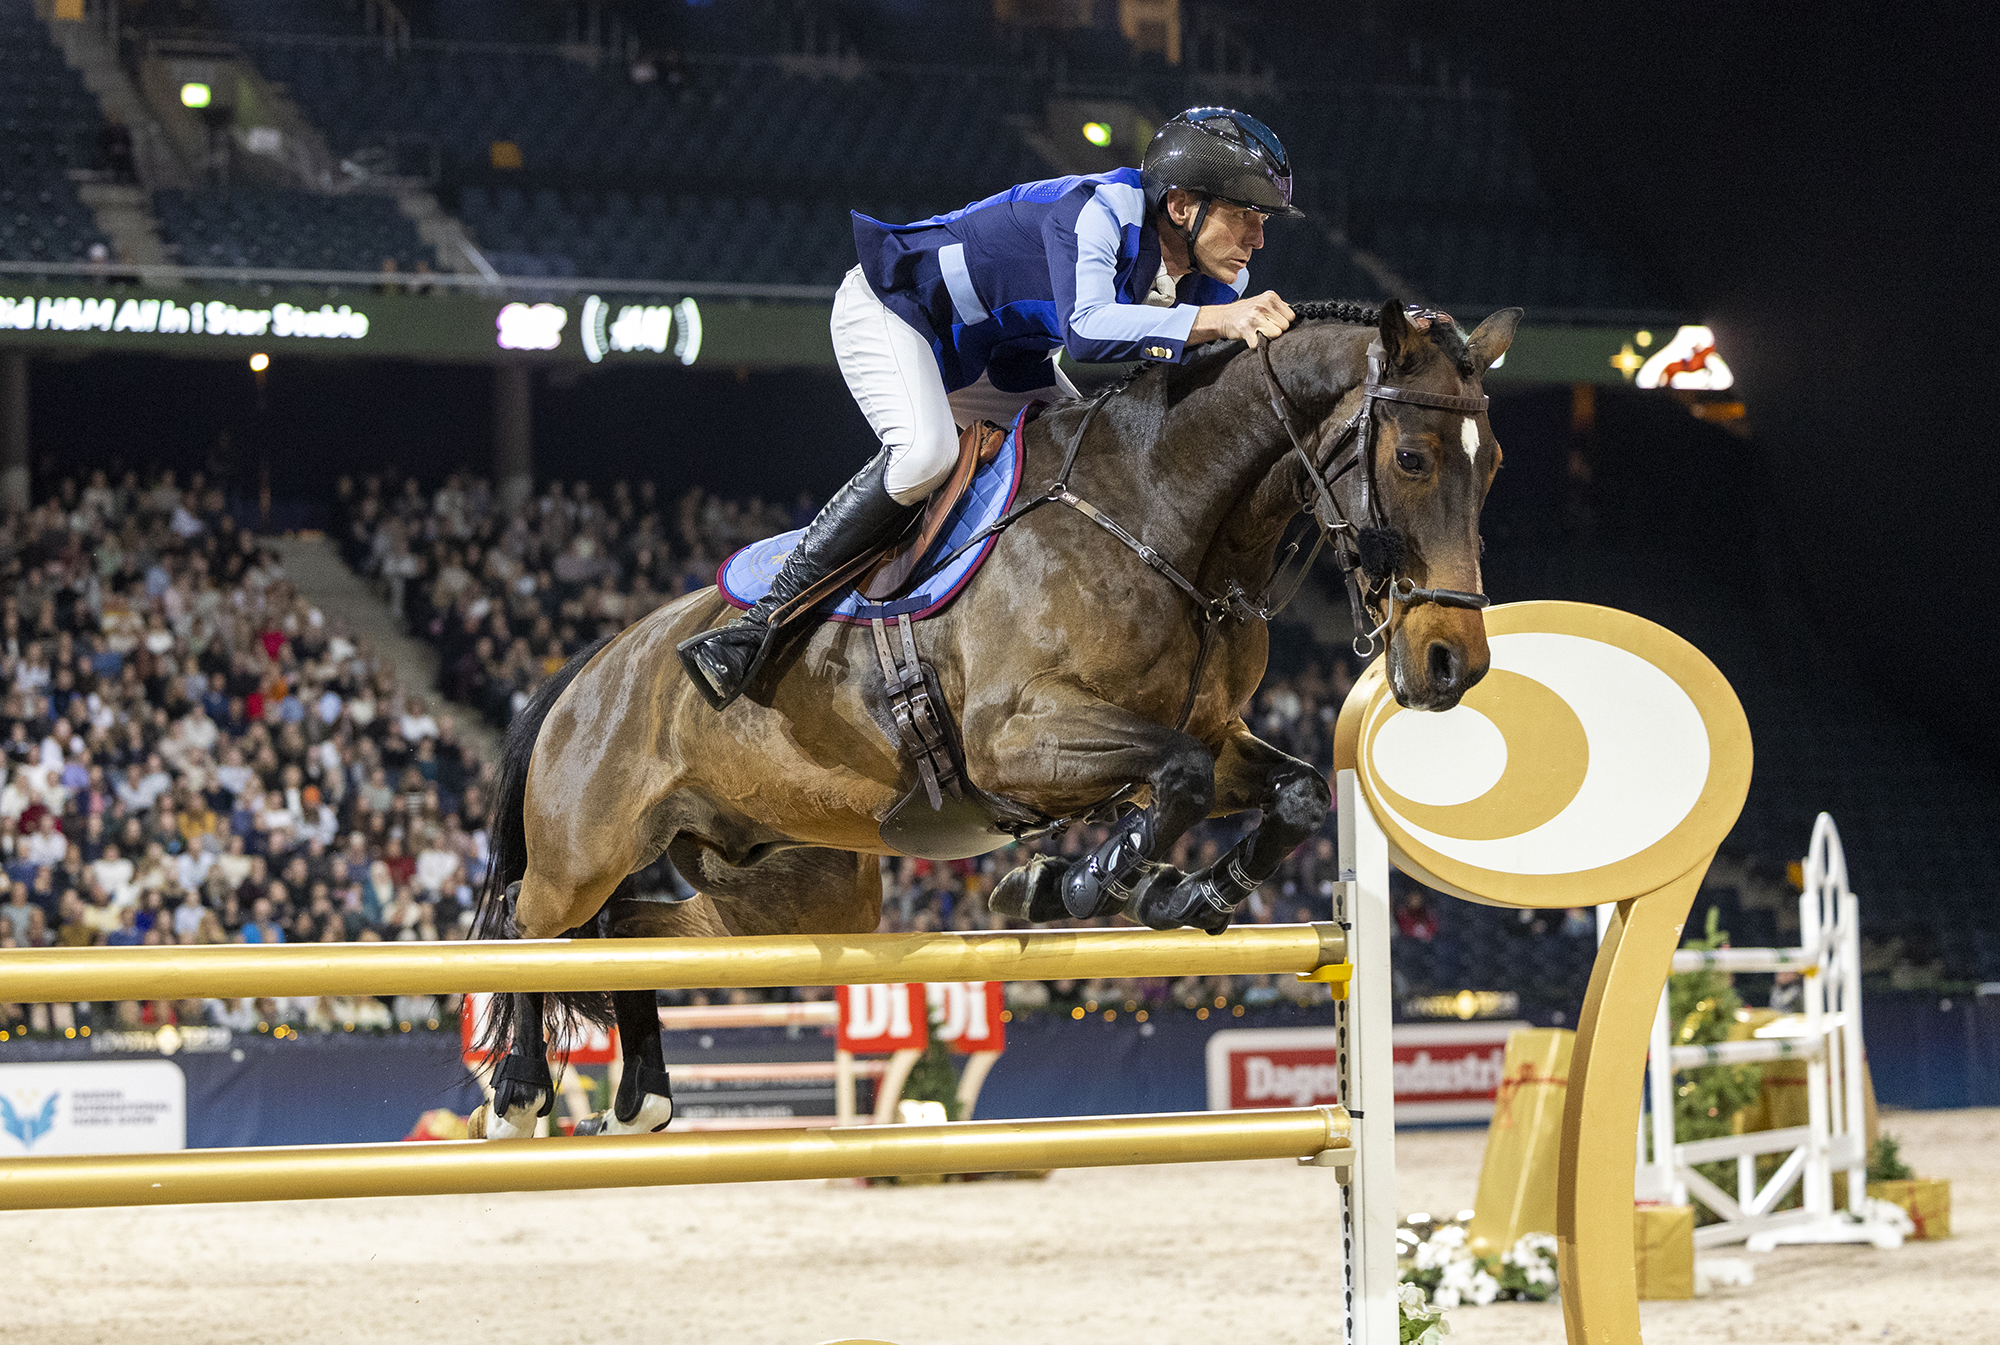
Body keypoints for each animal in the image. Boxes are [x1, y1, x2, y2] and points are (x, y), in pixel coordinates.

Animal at [465, 300, 1520, 1139]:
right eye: (1412, 458)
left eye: (1495, 468)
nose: (1451, 664)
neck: (1165, 521)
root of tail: (588, 665)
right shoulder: (1015, 742)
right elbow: (1170, 779)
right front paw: (1079, 882)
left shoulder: (1215, 739)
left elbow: (1290, 793)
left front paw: (1180, 894)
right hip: (584, 848)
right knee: (530, 924)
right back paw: (519, 1092)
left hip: (798, 884)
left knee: (624, 929)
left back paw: (641, 1093)